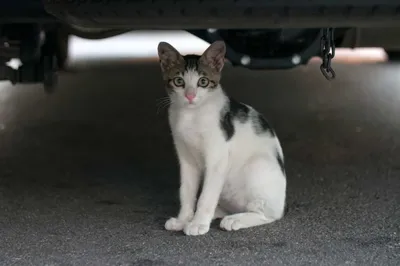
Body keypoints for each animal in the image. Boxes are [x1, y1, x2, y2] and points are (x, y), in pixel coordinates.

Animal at [158, 40, 286, 236]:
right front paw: (184, 220)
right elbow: (186, 192)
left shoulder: (217, 158)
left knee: (268, 214)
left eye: (202, 82)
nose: (190, 95)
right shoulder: (186, 159)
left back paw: (235, 219)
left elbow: (206, 196)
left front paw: (198, 224)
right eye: (179, 81)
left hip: (257, 165)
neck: (191, 115)